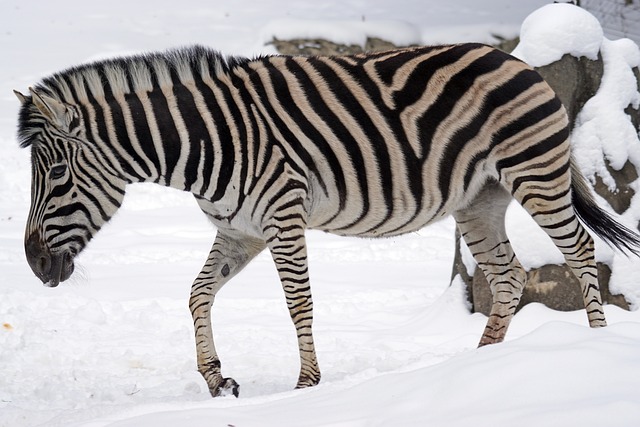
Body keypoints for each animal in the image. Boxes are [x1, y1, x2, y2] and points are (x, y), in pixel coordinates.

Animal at [15, 43, 640, 398]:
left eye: (57, 176)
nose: (34, 264)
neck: (205, 143)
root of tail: (519, 60)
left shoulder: (281, 215)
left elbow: (299, 303)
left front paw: (306, 387)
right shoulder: (238, 231)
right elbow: (196, 293)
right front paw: (217, 379)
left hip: (533, 173)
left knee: (580, 251)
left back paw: (593, 346)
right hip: (479, 199)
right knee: (508, 275)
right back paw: (486, 361)